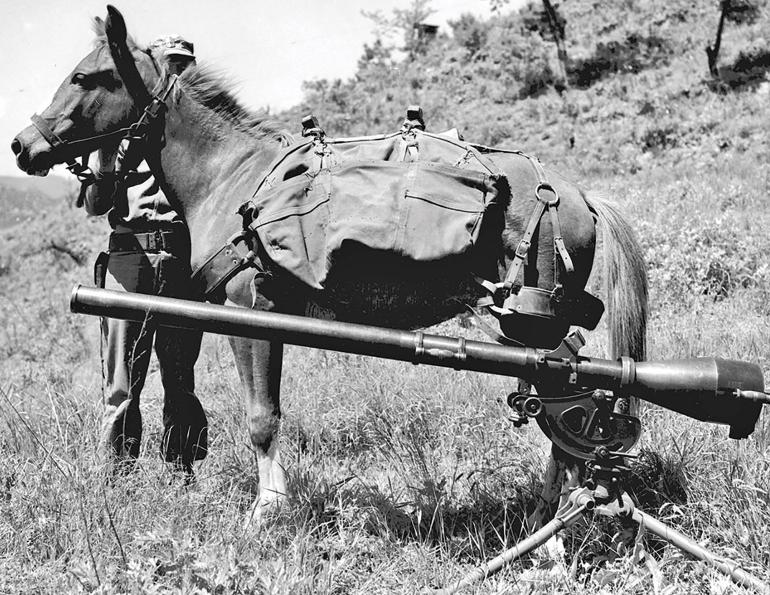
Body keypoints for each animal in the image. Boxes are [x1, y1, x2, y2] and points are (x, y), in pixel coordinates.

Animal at [11, 6, 648, 526]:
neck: (230, 175)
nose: (22, 145)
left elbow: (262, 417)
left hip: (531, 325)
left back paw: (556, 513)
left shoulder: (252, 314)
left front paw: (268, 512)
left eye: (87, 77)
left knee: (565, 415)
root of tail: (578, 194)